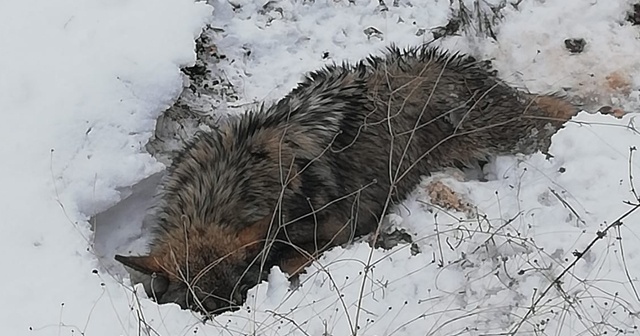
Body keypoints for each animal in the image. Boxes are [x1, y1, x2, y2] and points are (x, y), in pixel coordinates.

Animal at [114, 44, 576, 316]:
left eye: (238, 300)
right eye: (202, 308)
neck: (233, 183)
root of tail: (459, 65)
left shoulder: (334, 233)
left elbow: (282, 264)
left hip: (505, 134)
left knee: (554, 111)